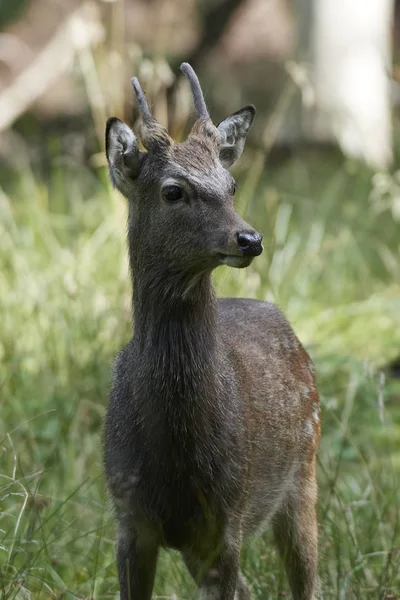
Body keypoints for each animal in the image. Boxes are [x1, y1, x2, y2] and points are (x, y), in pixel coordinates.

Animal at [104, 62, 322, 600]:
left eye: (232, 185)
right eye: (172, 190)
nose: (250, 238)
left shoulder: (227, 519)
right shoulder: (129, 518)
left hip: (303, 471)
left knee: (307, 578)